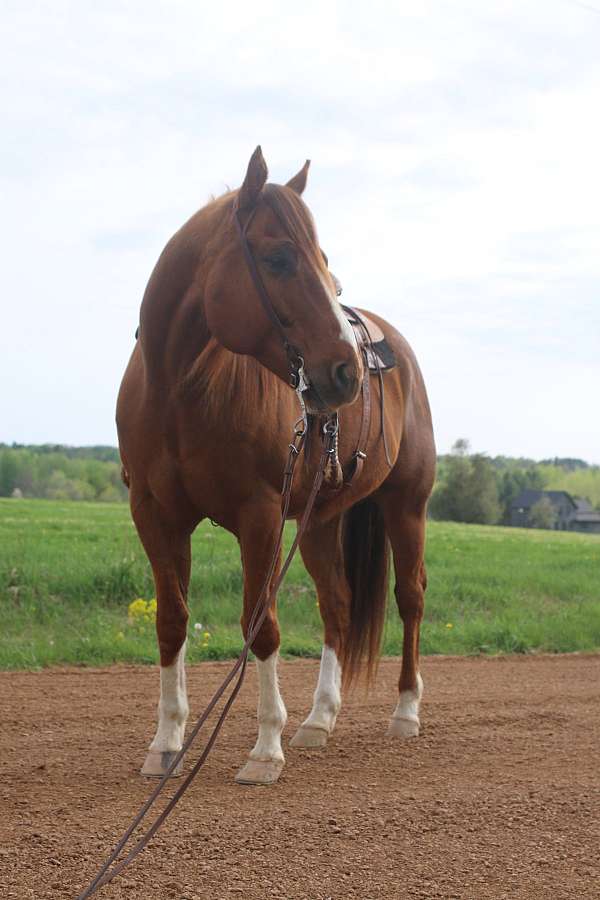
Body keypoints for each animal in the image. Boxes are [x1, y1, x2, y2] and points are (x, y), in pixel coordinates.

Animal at [116, 147, 436, 786]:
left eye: (324, 262)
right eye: (280, 257)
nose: (346, 370)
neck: (180, 391)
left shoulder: (260, 514)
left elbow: (259, 625)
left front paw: (265, 750)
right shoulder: (155, 514)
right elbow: (172, 620)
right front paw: (167, 743)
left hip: (406, 507)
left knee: (409, 596)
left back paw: (406, 711)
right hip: (319, 522)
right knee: (337, 605)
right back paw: (319, 719)